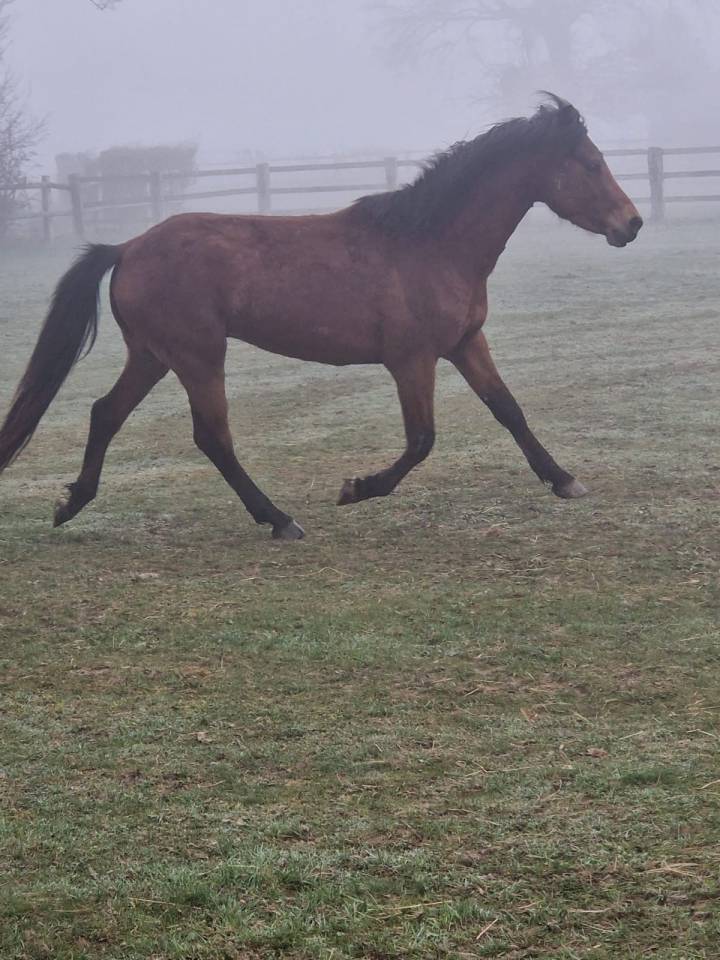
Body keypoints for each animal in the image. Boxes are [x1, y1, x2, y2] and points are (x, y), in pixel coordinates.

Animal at [0, 95, 642, 540]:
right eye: (589, 163)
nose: (631, 224)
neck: (429, 243)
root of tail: (128, 247)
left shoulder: (465, 344)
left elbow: (508, 410)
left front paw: (564, 480)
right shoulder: (411, 361)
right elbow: (422, 440)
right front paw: (357, 489)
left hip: (154, 355)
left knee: (105, 413)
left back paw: (71, 503)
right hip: (198, 356)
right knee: (212, 437)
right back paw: (279, 519)